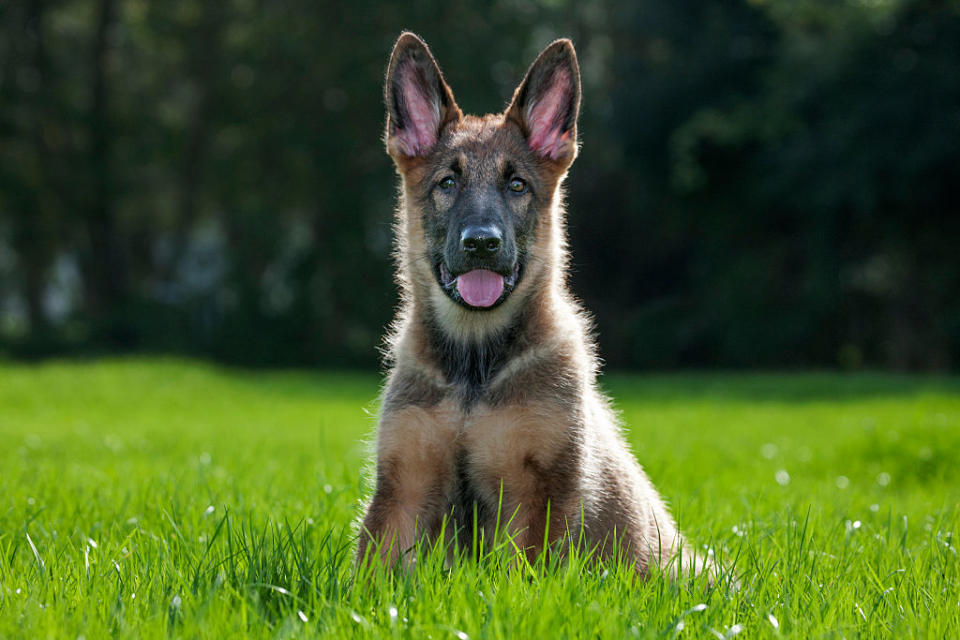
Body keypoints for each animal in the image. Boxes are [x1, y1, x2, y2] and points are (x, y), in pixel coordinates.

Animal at [358, 32, 696, 576]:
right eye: (447, 183)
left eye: (516, 185)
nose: (481, 243)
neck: (474, 368)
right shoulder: (402, 488)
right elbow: (368, 577)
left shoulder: (537, 492)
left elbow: (522, 575)